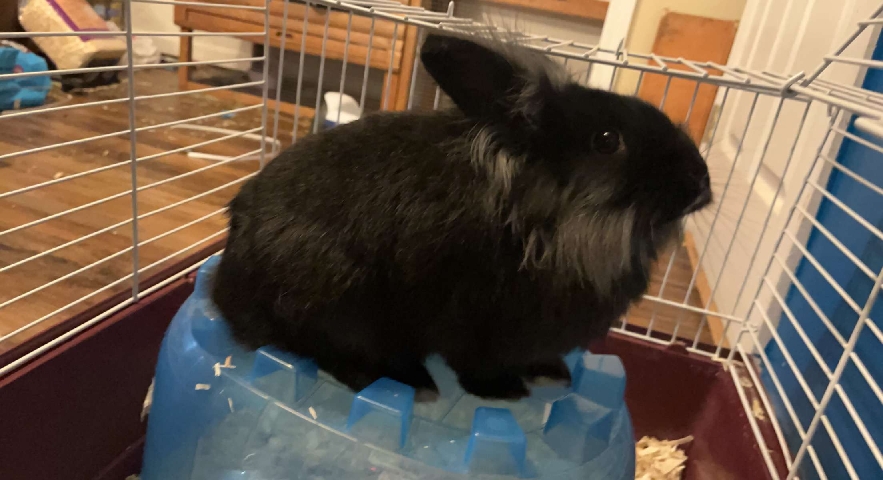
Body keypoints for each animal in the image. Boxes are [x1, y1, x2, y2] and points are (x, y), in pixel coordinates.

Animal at [211, 32, 711, 401]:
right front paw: (505, 392)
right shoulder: (475, 323)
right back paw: (413, 384)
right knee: (323, 351)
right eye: (607, 140)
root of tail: (226, 282)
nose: (701, 185)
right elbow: (477, 365)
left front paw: (552, 372)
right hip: (336, 302)